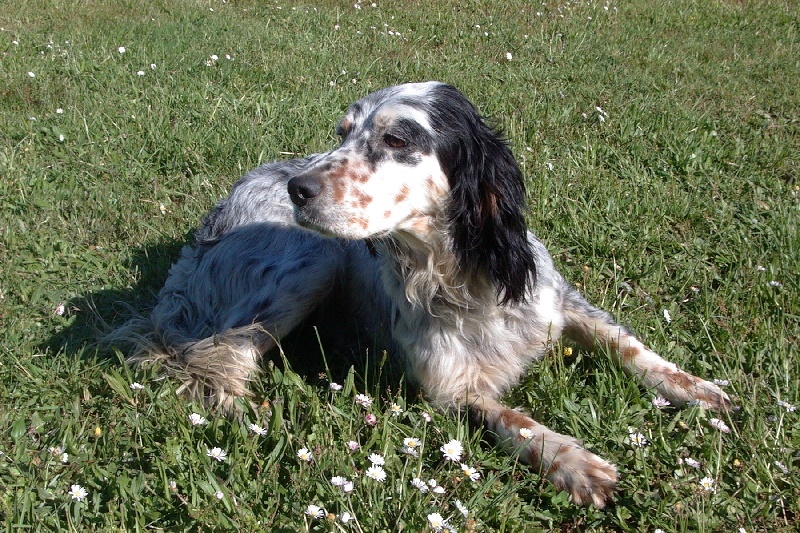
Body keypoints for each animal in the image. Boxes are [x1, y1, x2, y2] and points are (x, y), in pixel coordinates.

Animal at [112, 80, 732, 508]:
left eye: (395, 139)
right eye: (342, 134)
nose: (298, 189)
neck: (463, 278)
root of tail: (212, 220)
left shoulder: (559, 301)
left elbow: (632, 348)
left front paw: (700, 390)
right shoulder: (451, 390)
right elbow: (518, 421)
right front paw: (574, 462)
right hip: (312, 258)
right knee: (211, 361)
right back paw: (258, 426)